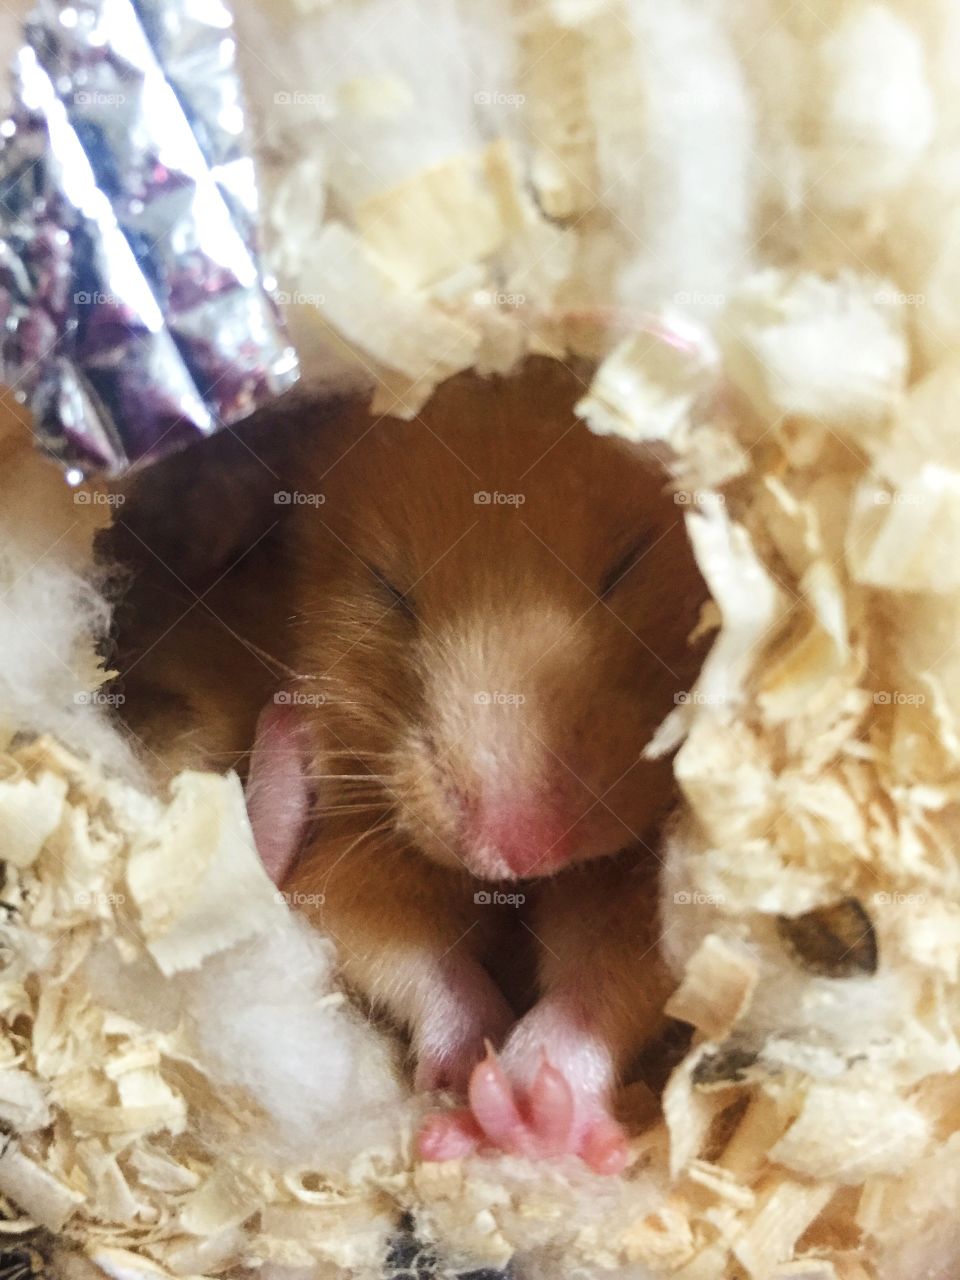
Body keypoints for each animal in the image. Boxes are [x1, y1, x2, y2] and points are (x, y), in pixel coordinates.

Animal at [115, 358, 707, 1174]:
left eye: (628, 564)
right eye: (388, 589)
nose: (516, 850)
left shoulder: (644, 884)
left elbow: (605, 974)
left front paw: (533, 1110)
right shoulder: (350, 857)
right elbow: (408, 950)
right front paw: (466, 1095)